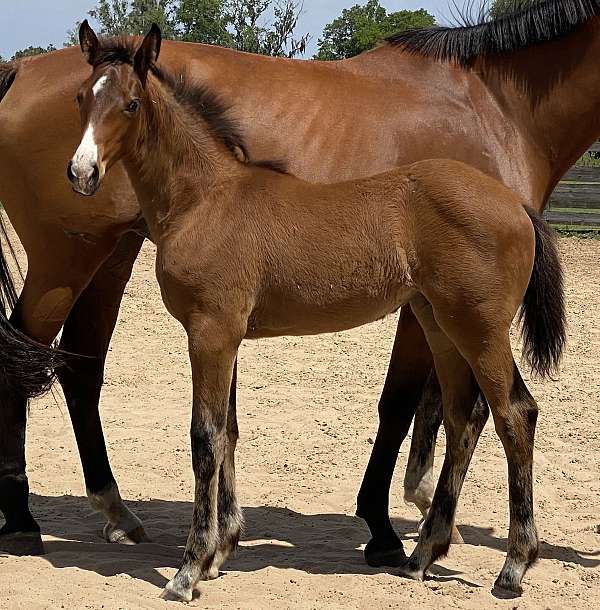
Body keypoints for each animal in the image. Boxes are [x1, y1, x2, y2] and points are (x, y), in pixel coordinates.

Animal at [0, 0, 596, 560]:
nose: (81, 172)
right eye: (80, 100)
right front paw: (390, 525)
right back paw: (24, 521)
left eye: (130, 104)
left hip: (113, 255)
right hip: (65, 259)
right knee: (23, 360)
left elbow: (422, 406)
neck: (496, 105)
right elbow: (404, 405)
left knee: (80, 367)